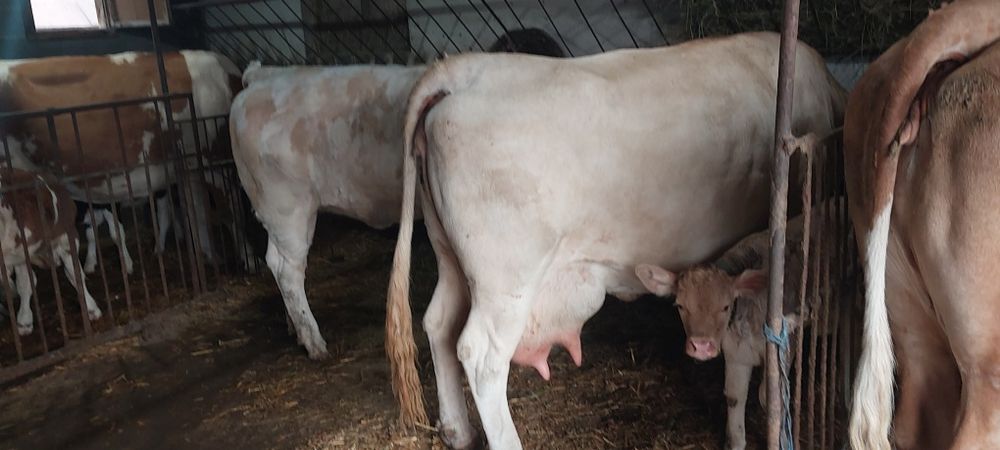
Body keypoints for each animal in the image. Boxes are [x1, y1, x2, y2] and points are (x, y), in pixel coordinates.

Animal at [385, 31, 846, 449]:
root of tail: (465, 70)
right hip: (505, 279)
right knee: (480, 355)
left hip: (452, 257)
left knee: (439, 322)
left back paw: (456, 431)